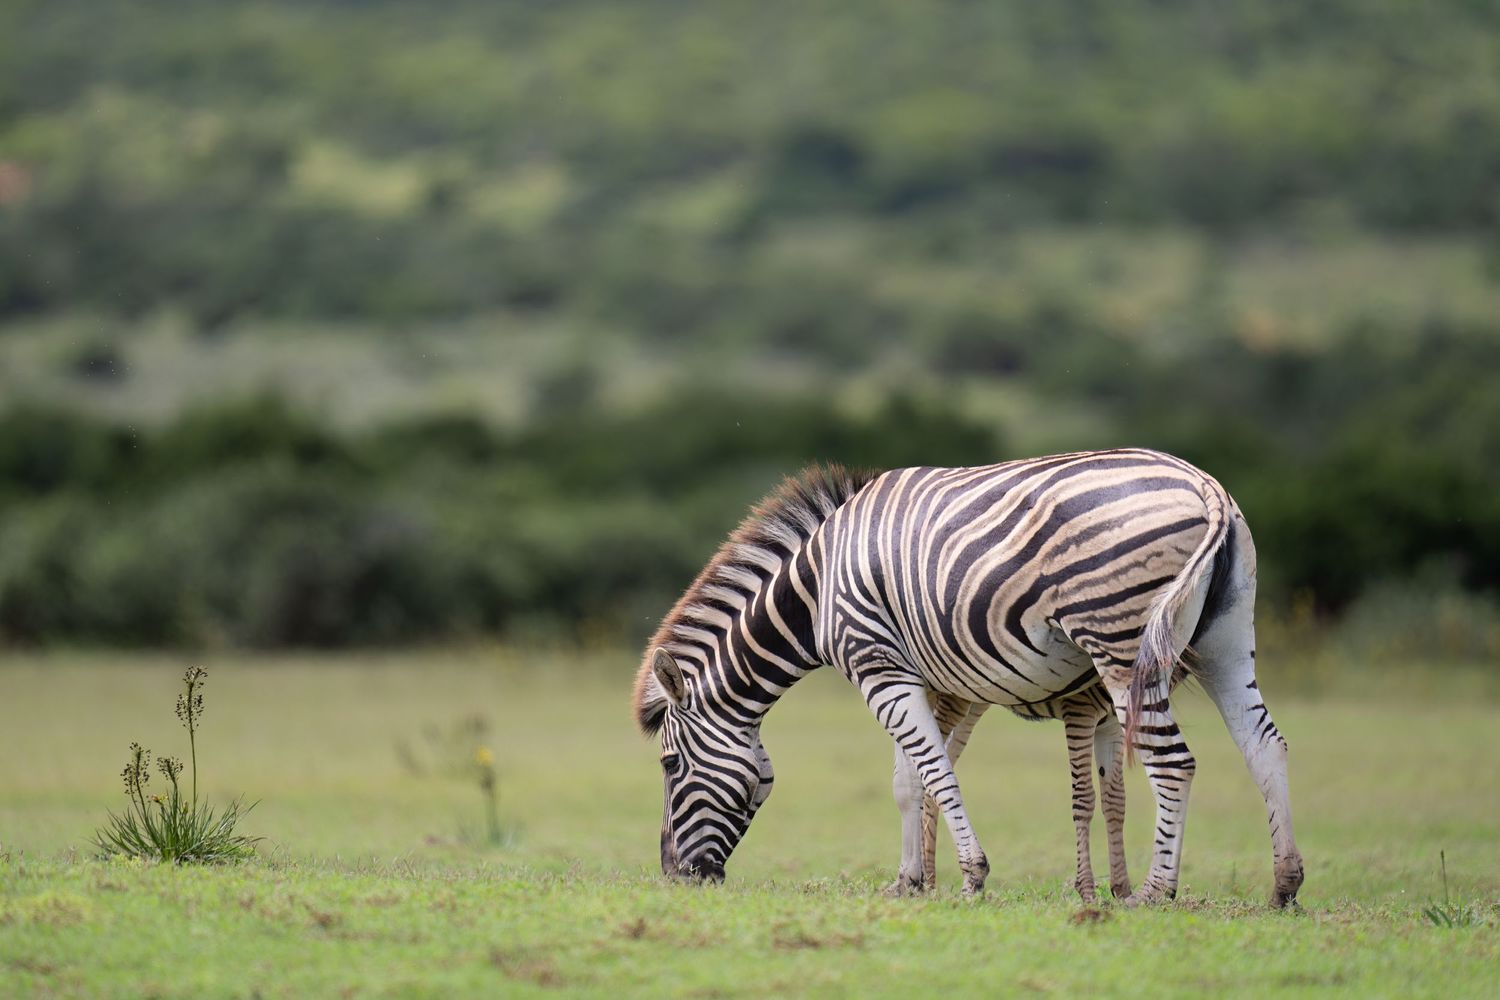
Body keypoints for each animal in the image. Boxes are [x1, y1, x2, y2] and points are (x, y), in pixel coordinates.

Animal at [634, 449, 1304, 906]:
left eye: (669, 764)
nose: (675, 877)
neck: (816, 590)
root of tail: (1206, 486)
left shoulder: (878, 666)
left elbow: (933, 769)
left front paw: (973, 875)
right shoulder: (915, 674)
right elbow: (908, 779)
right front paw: (908, 881)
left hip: (1118, 639)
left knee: (1174, 763)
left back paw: (1154, 892)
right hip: (1223, 642)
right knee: (1264, 744)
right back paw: (1284, 885)